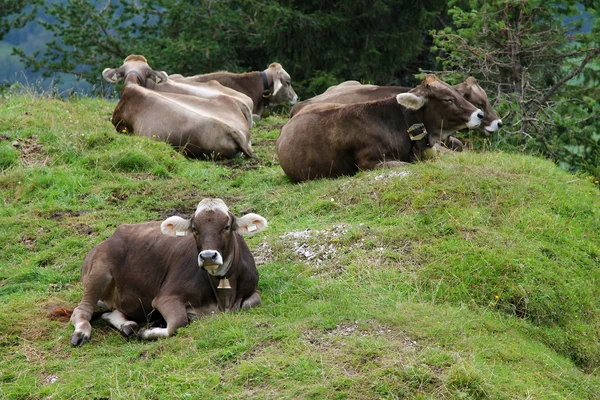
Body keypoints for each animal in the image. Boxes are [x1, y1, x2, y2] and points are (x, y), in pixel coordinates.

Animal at [66, 198, 270, 346]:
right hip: (98, 271)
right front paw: (147, 332)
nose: (208, 256)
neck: (223, 298)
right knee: (81, 310)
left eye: (227, 226)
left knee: (109, 313)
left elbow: (252, 302)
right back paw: (82, 333)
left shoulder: (251, 291)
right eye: (195, 229)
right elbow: (178, 323)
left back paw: (127, 325)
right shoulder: (165, 297)